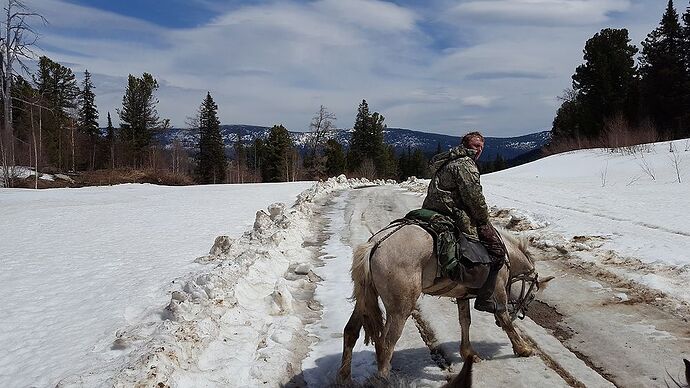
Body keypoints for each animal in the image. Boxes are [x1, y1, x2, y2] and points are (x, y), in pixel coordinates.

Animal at [336, 223, 552, 380]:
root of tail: (375, 245)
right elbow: (505, 321)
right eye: (532, 295)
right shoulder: (498, 291)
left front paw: (469, 353)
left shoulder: (462, 296)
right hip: (400, 309)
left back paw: (344, 377)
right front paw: (523, 348)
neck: (505, 255)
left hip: (363, 302)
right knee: (386, 343)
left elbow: (465, 322)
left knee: (351, 331)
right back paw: (383, 378)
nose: (521, 312)